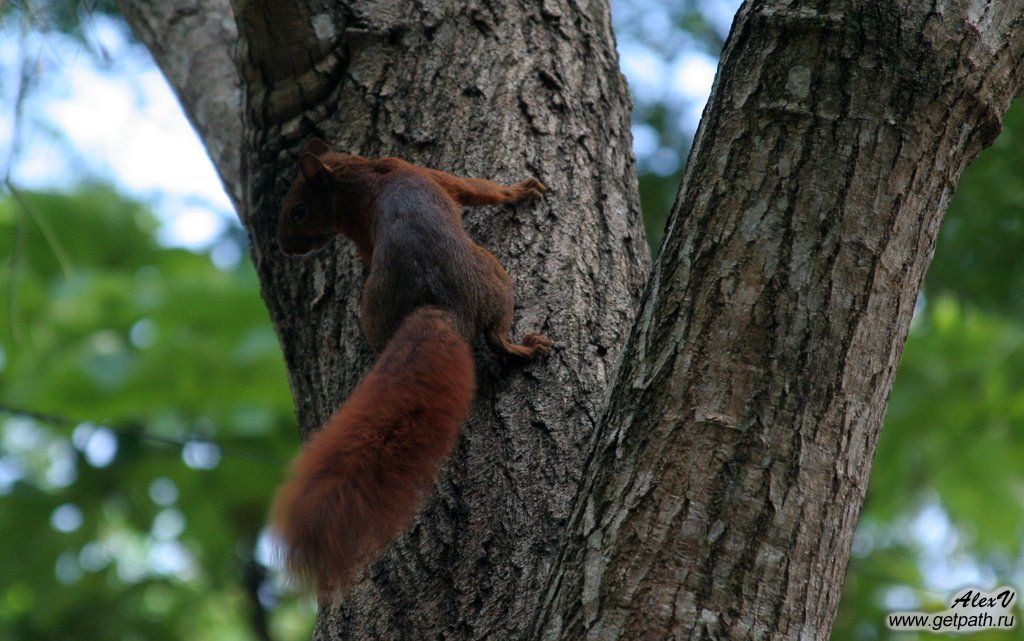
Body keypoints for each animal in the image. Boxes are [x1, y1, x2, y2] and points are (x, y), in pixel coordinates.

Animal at [268, 137, 548, 589]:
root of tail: (436, 304)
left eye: (298, 210)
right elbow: (477, 189)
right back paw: (526, 348)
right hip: (496, 275)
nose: (284, 247)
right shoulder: (433, 176)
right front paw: (519, 191)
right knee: (496, 336)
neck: (361, 177)